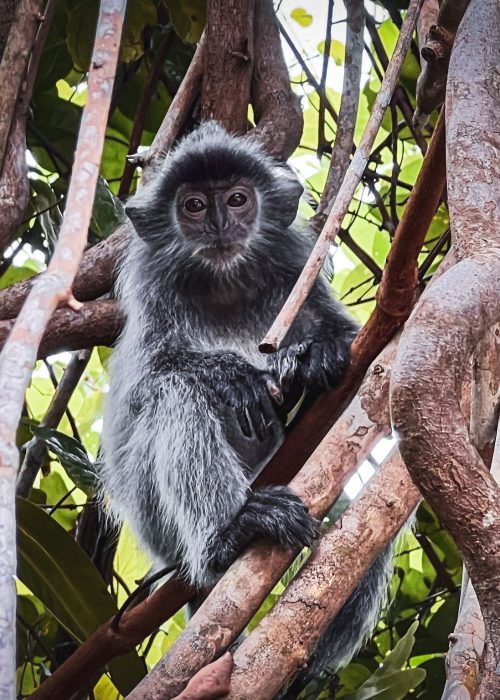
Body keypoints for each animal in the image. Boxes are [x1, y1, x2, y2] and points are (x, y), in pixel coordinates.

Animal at [100, 121, 392, 682]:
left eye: (237, 199)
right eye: (193, 205)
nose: (217, 224)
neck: (225, 284)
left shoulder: (297, 276)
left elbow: (363, 358)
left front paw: (317, 357)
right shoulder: (153, 299)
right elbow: (145, 387)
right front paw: (233, 376)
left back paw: (312, 659)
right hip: (155, 521)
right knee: (178, 396)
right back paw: (231, 535)